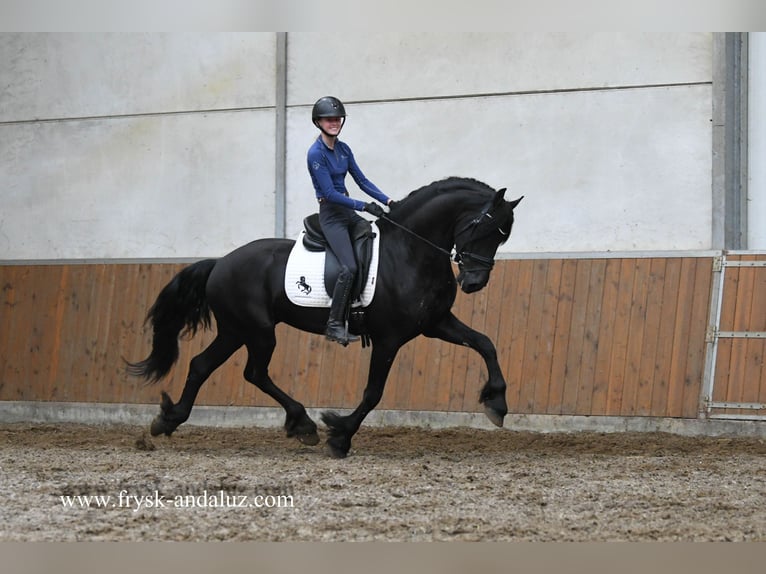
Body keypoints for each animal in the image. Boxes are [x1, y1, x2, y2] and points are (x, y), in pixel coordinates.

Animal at [127, 178, 520, 462]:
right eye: (484, 228)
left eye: (502, 237)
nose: (473, 283)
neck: (410, 252)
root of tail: (220, 262)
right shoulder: (389, 338)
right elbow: (373, 392)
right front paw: (340, 435)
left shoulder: (435, 324)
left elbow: (485, 343)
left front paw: (497, 403)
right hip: (256, 330)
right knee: (251, 372)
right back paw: (303, 424)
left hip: (237, 331)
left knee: (204, 365)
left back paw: (170, 420)